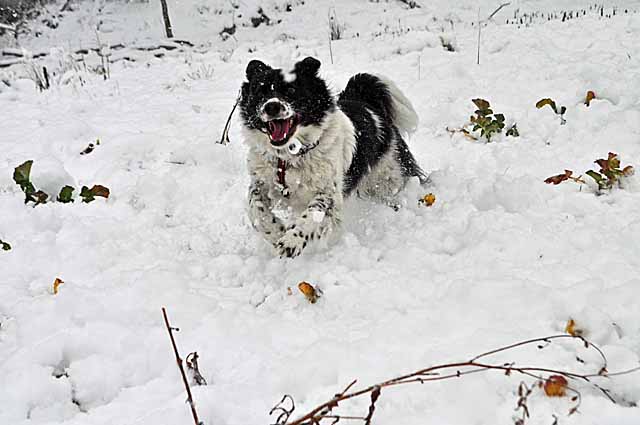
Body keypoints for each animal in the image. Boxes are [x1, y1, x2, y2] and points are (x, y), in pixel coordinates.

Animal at [239, 55, 424, 256]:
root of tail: (369, 105)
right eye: (260, 92)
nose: (271, 106)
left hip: (389, 178)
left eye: (291, 90)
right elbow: (256, 209)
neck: (290, 156)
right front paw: (275, 233)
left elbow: (314, 212)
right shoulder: (261, 183)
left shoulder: (329, 191)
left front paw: (292, 240)